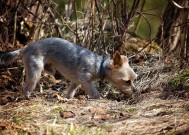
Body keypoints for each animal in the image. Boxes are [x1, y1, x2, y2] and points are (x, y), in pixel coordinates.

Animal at [0, 38, 137, 99]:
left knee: (49, 71)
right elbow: (95, 92)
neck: (100, 65)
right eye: (127, 81)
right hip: (35, 72)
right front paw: (97, 98)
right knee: (26, 88)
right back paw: (28, 97)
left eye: (134, 79)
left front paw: (67, 99)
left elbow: (70, 92)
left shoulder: (76, 82)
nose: (135, 91)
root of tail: (26, 48)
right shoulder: (84, 79)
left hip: (46, 68)